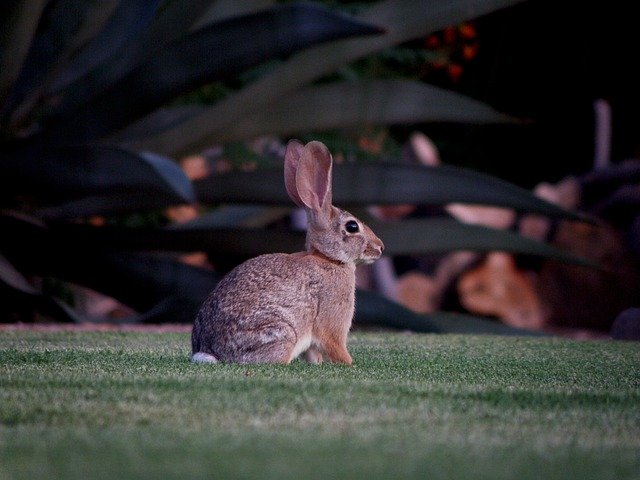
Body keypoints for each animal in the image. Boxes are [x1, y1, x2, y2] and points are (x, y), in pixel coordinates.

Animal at [188, 139, 382, 364]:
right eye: (352, 227)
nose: (380, 247)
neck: (328, 258)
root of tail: (210, 353)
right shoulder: (331, 318)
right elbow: (334, 345)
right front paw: (350, 364)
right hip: (282, 333)